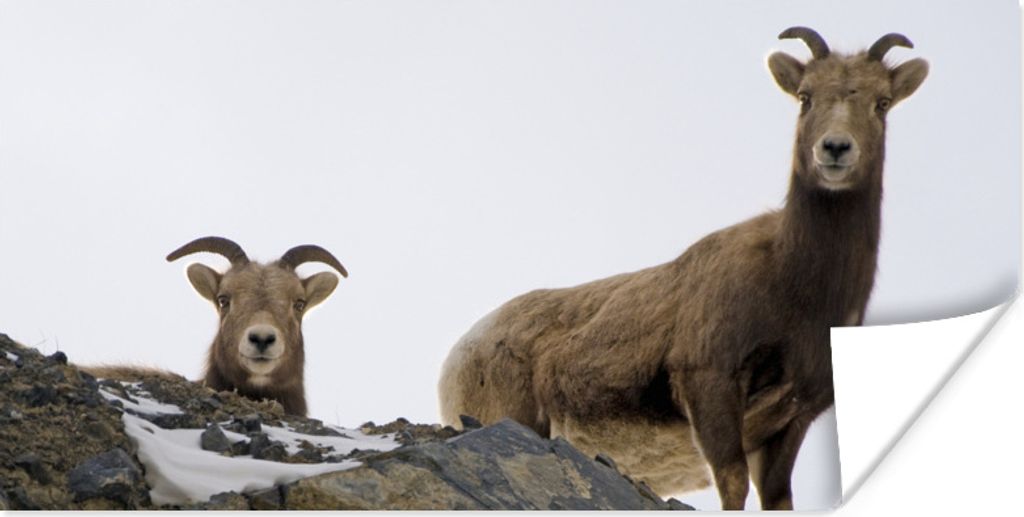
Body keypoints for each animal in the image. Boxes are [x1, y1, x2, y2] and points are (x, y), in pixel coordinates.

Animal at [438, 28, 928, 510]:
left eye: (882, 102)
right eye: (805, 96)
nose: (836, 149)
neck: (796, 289)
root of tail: (458, 355)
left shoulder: (791, 419)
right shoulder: (710, 386)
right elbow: (732, 485)